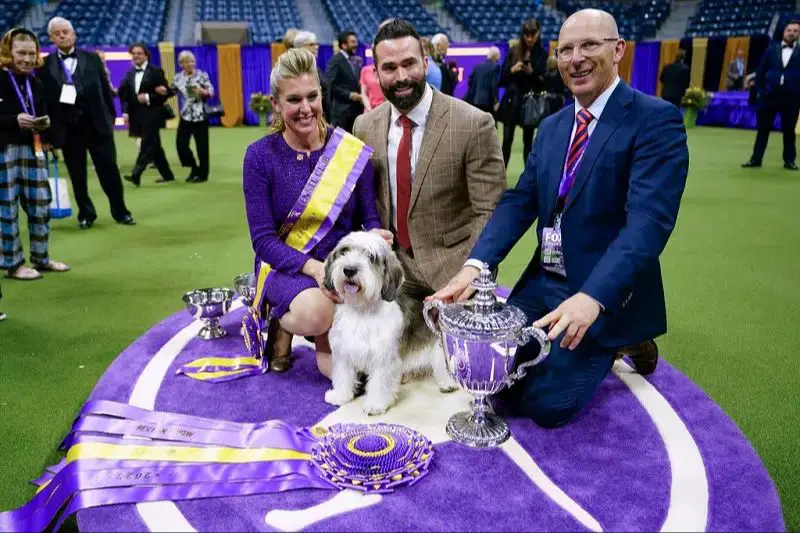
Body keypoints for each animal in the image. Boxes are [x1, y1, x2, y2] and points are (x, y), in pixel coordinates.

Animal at [320, 231, 456, 414]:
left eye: (371, 256)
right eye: (345, 250)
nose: (349, 270)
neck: (362, 312)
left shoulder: (383, 358)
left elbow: (379, 384)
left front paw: (375, 404)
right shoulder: (344, 352)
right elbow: (344, 376)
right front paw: (340, 395)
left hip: (440, 347)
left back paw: (448, 383)